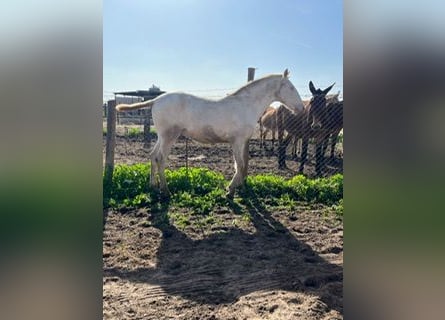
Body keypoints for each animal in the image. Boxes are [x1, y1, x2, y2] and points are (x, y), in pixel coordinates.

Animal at [115, 69, 306, 196]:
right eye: (290, 87)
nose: (301, 109)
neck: (245, 105)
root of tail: (155, 100)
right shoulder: (237, 141)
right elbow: (240, 164)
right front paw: (230, 191)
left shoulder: (241, 142)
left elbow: (241, 164)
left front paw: (237, 188)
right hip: (169, 136)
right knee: (160, 159)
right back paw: (166, 191)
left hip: (161, 136)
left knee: (153, 156)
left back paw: (153, 186)